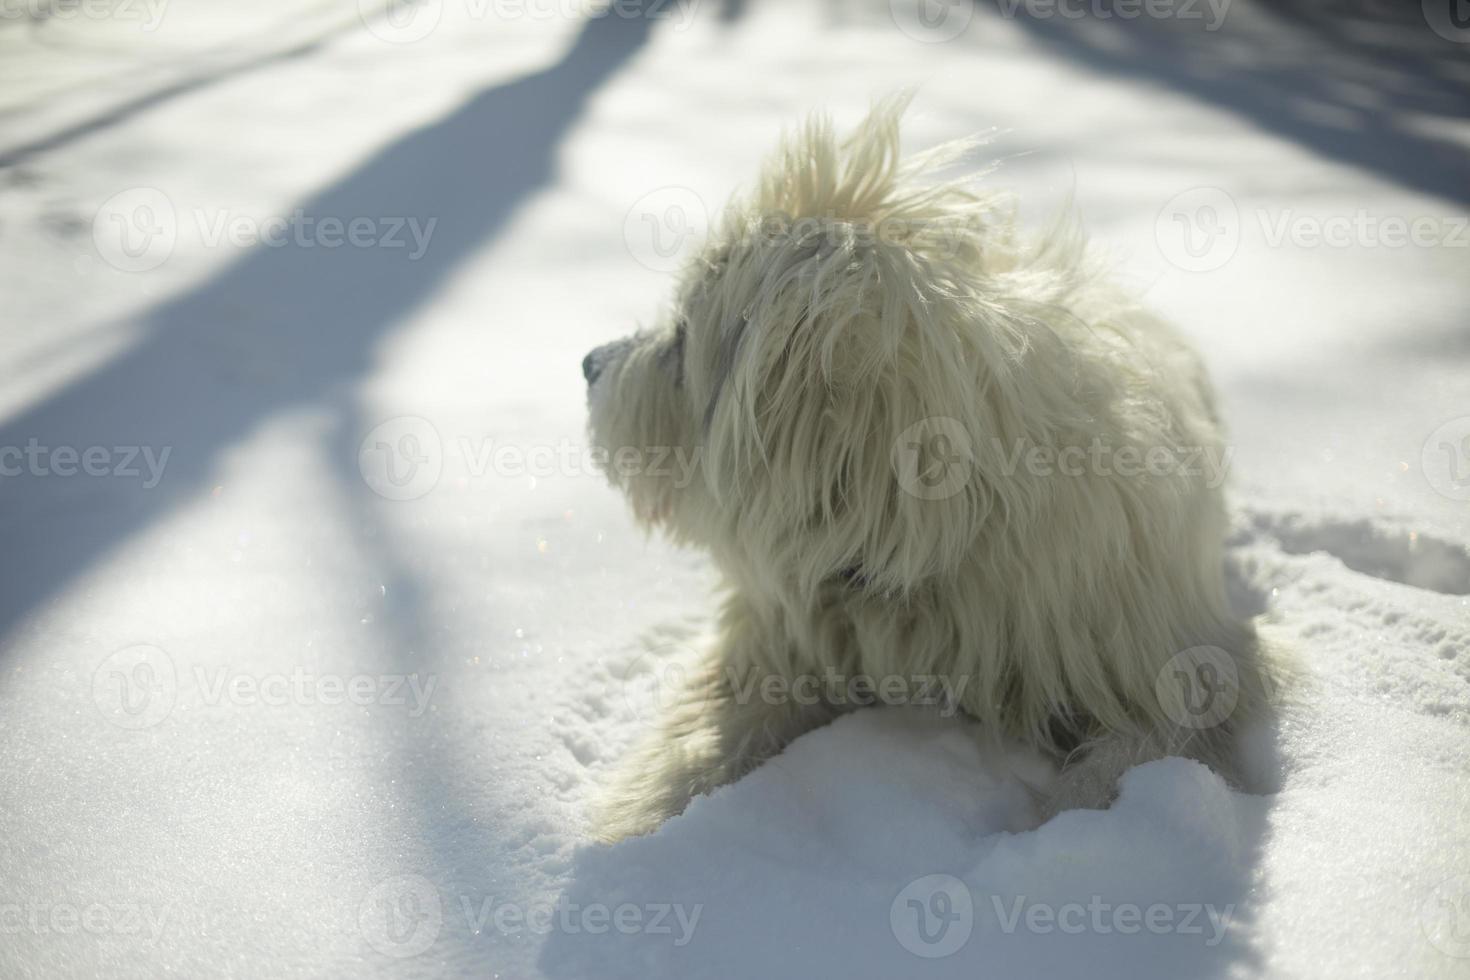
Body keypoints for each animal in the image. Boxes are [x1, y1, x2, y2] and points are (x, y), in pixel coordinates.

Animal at [585, 94, 1275, 846]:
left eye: (682, 338)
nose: (588, 364)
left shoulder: (1167, 666)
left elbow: (1135, 756)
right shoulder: (784, 641)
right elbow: (706, 732)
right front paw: (640, 824)